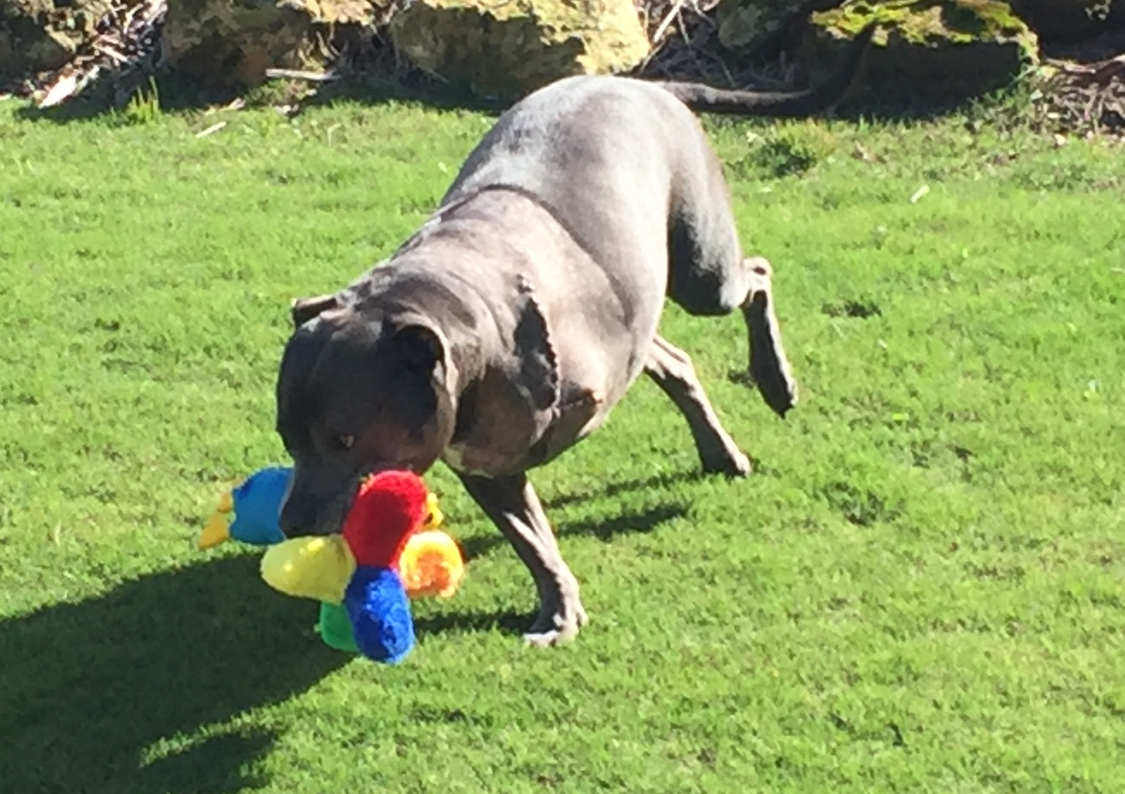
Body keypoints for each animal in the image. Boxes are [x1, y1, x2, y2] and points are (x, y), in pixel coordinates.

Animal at [276, 32, 873, 647]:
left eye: (345, 438)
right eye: (286, 437)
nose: (290, 523)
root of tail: (644, 85)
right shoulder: (487, 468)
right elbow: (532, 541)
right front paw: (559, 610)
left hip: (704, 271)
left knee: (755, 275)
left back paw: (775, 381)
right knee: (676, 358)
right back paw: (720, 449)